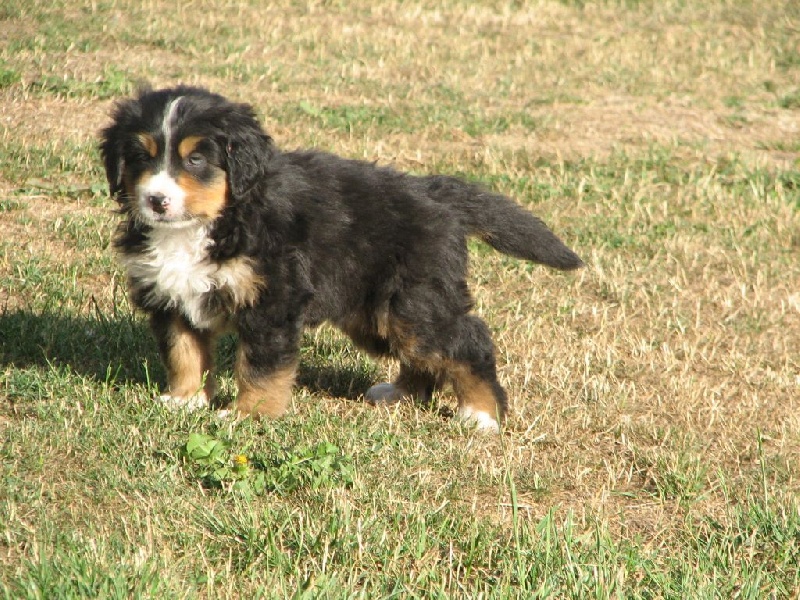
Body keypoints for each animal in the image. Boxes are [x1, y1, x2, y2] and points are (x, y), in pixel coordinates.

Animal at [100, 85, 583, 432]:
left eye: (197, 158)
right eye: (141, 156)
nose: (156, 200)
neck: (216, 221)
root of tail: (433, 190)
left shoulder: (273, 300)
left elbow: (259, 366)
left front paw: (247, 415)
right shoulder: (169, 295)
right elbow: (184, 352)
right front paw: (184, 402)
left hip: (413, 303)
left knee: (467, 341)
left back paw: (482, 415)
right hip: (373, 312)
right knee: (425, 356)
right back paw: (401, 394)